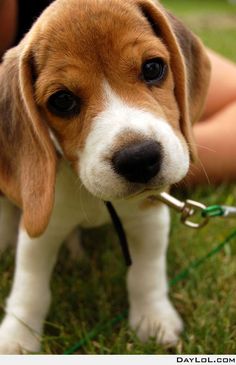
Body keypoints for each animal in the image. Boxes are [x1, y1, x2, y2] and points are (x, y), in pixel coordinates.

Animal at [0, 0, 210, 352]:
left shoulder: (149, 217)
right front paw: (17, 338)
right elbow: (30, 288)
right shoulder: (41, 228)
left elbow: (146, 275)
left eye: (153, 68)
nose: (139, 159)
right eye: (62, 100)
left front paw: (153, 320)